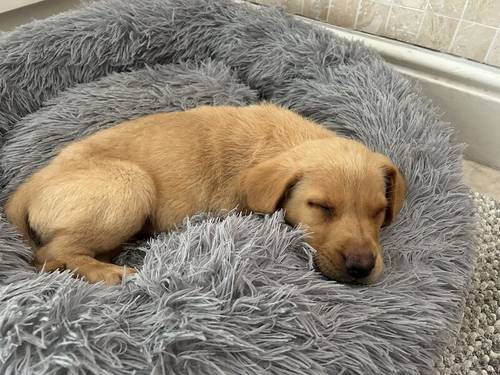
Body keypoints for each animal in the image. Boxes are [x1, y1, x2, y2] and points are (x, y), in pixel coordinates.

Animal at [4, 103, 406, 284]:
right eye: (320, 206)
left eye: (378, 211)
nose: (362, 268)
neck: (286, 142)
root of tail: (25, 188)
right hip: (131, 184)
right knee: (49, 253)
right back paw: (110, 272)